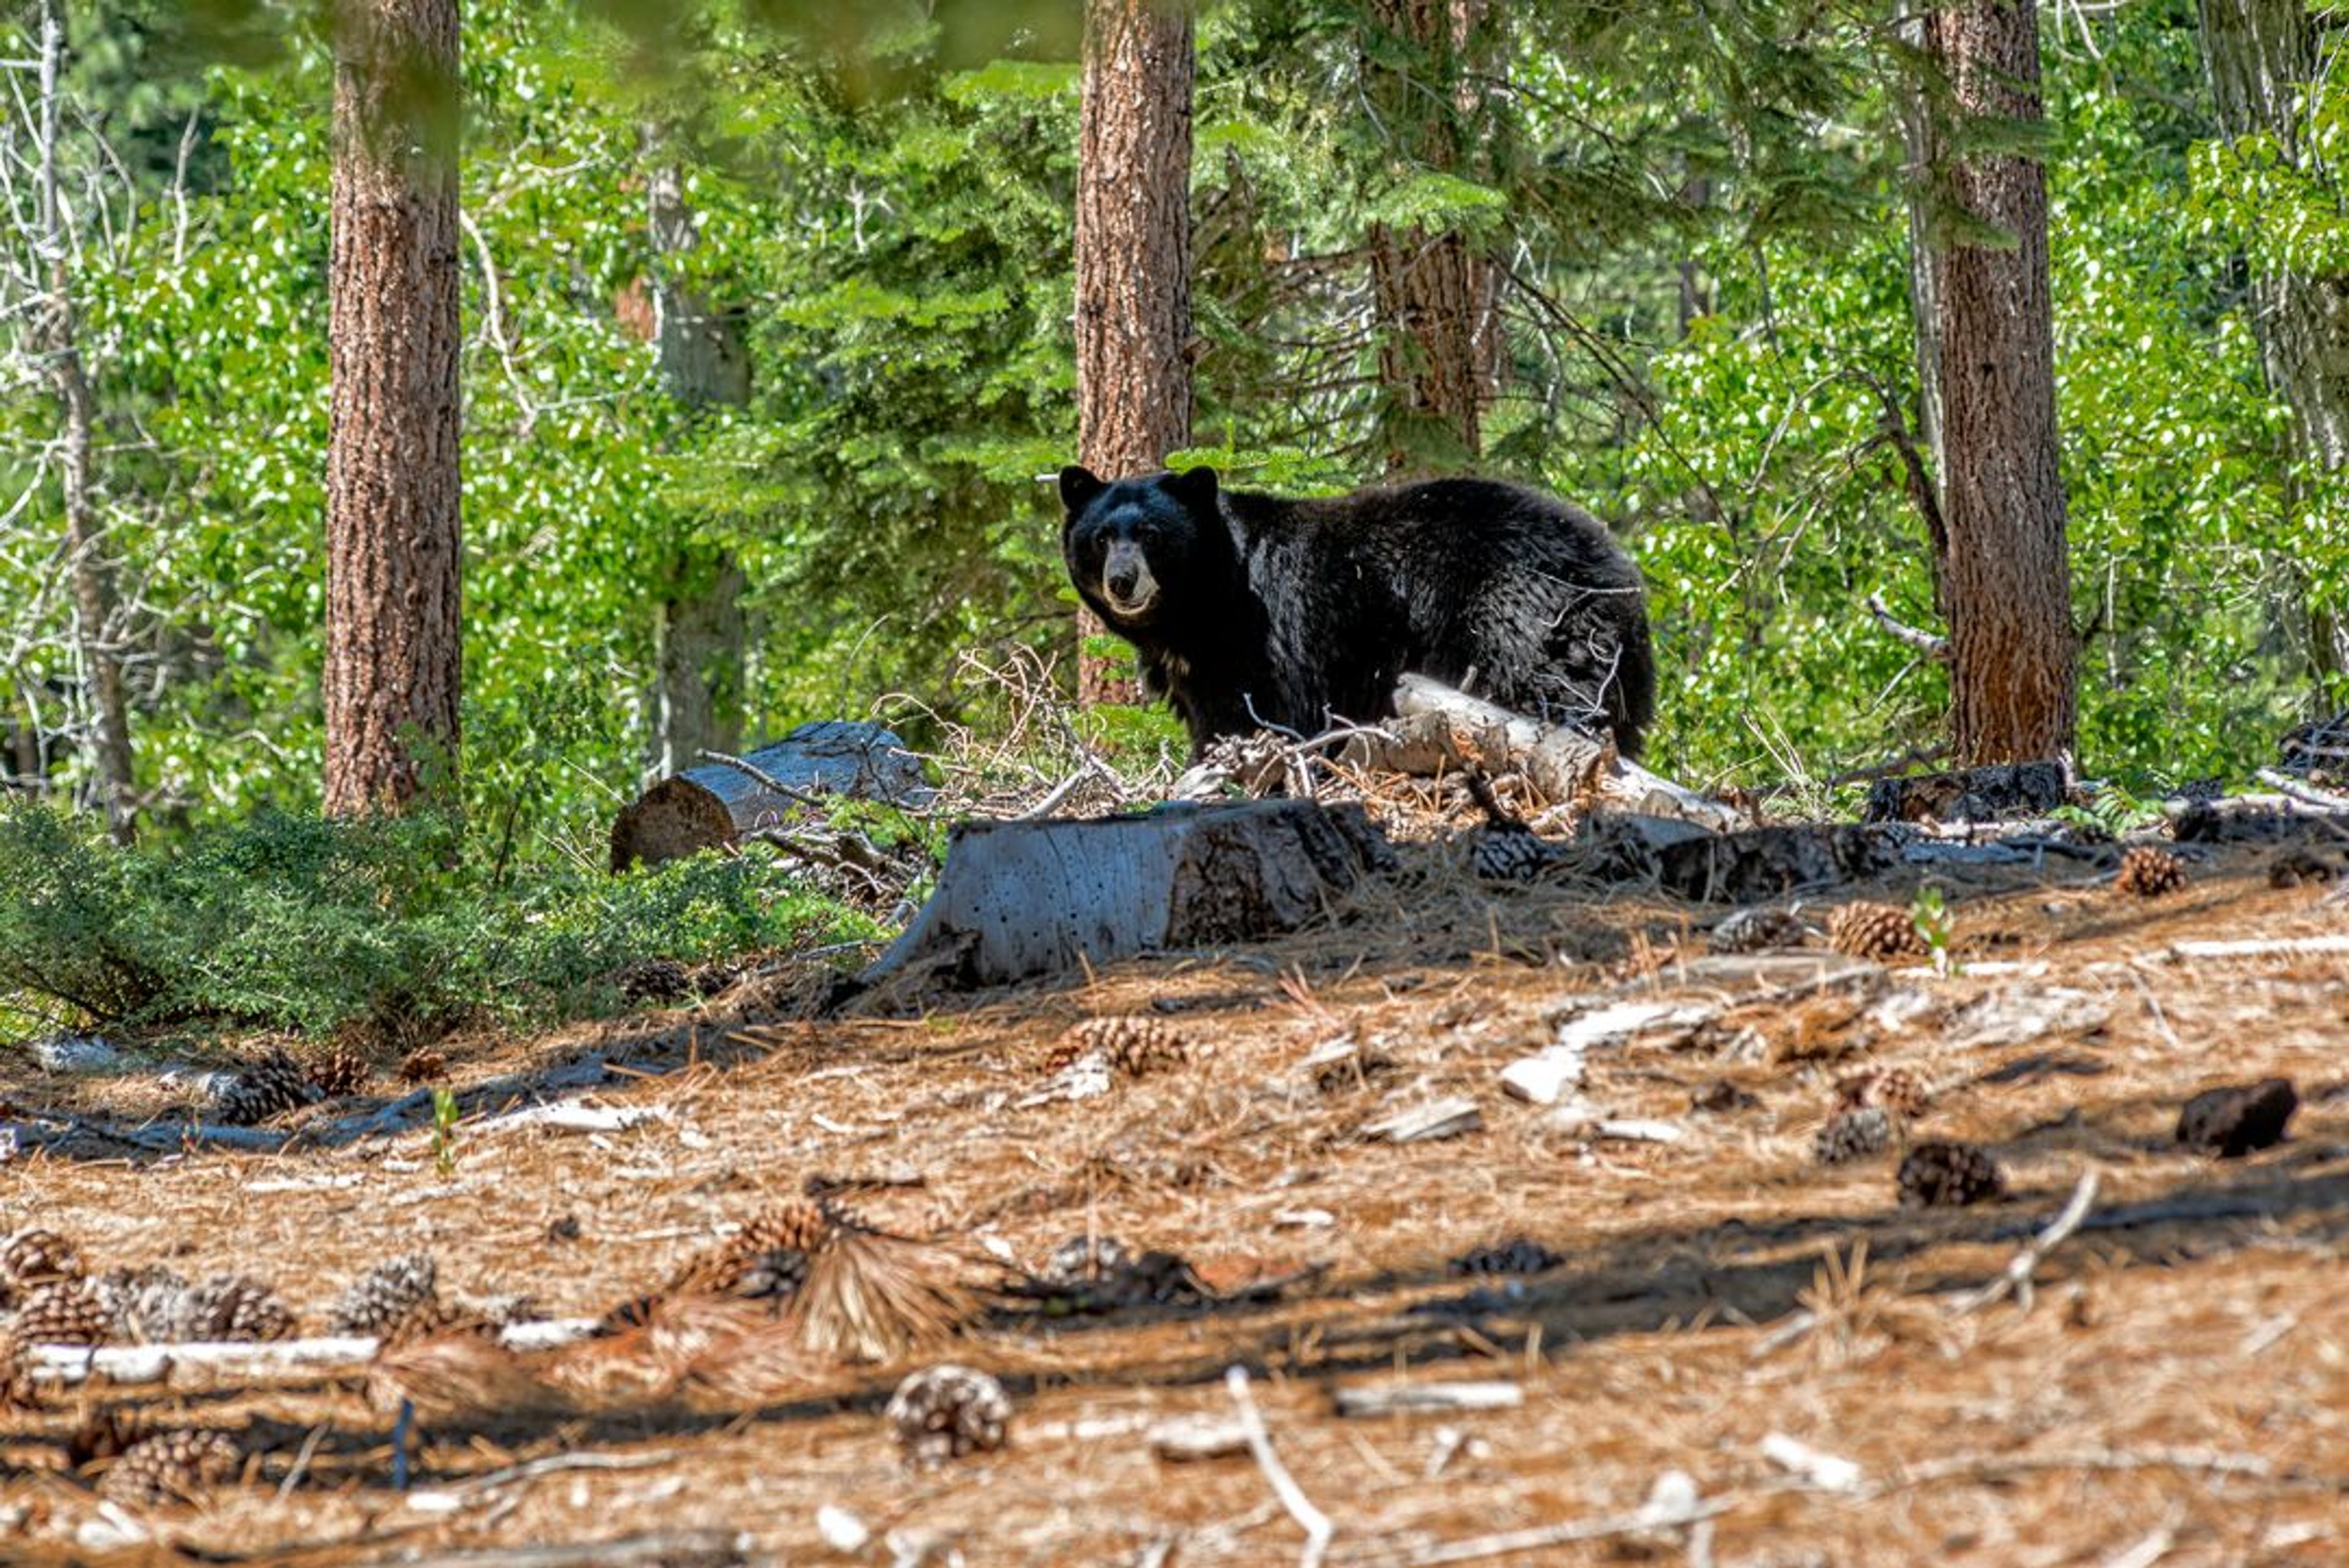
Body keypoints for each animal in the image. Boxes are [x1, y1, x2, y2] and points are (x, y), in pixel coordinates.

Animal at [1061, 464, 1653, 760]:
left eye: (1151, 534)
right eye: (1101, 537)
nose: (1122, 580)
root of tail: (1619, 571)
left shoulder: (1270, 642)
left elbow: (1269, 721)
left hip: (1523, 618)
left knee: (1549, 690)